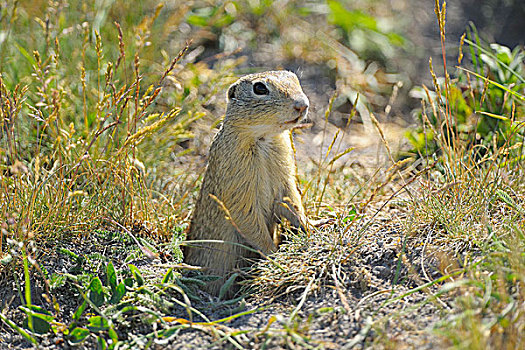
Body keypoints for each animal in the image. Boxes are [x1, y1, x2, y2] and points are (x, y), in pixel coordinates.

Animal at [183, 69, 310, 294]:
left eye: (295, 78)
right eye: (259, 88)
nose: (302, 105)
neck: (264, 138)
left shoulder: (285, 178)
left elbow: (292, 201)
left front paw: (309, 228)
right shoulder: (237, 184)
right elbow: (247, 219)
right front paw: (274, 254)